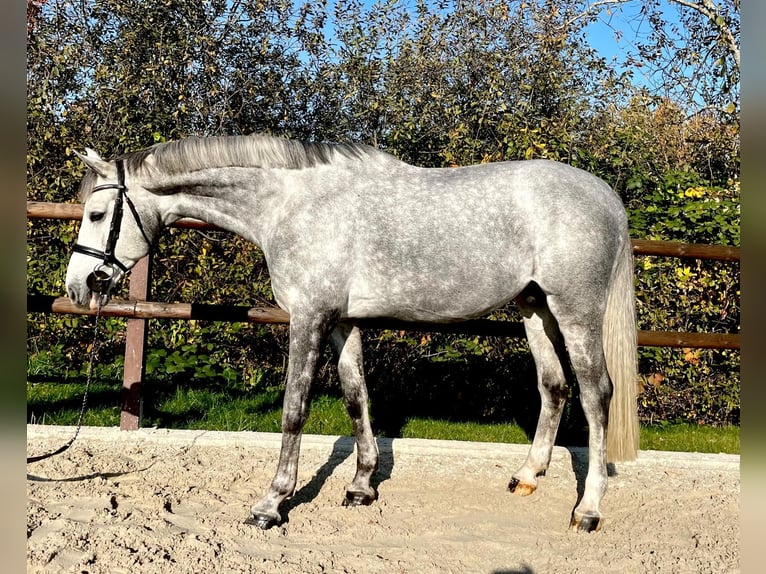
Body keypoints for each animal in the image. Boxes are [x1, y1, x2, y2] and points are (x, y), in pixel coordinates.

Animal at [66, 135, 640, 536]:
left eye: (96, 214)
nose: (78, 286)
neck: (291, 207)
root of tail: (606, 196)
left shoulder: (309, 317)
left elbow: (295, 409)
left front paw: (272, 504)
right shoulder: (342, 321)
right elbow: (356, 397)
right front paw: (362, 487)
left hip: (576, 312)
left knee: (596, 394)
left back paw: (588, 510)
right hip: (535, 309)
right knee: (554, 386)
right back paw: (527, 476)